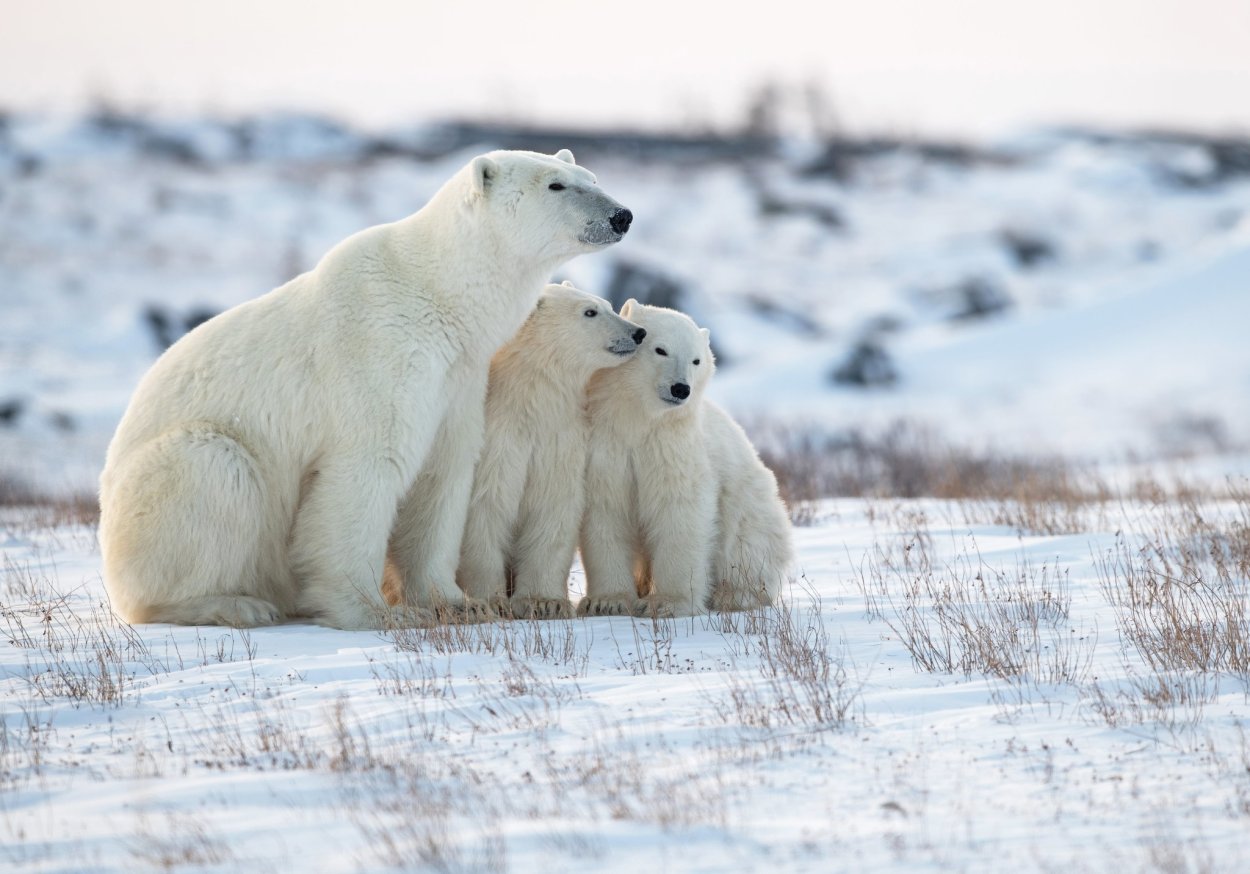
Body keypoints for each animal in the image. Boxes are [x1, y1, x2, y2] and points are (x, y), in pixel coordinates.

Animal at [455, 283, 645, 617]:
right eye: (590, 311)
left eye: (608, 304)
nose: (637, 333)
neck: (527, 401)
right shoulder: (496, 444)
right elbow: (485, 511)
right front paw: (492, 601)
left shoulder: (558, 442)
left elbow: (552, 510)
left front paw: (543, 602)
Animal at [577, 303, 790, 617]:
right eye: (660, 350)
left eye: (696, 360)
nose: (681, 388)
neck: (638, 422)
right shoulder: (607, 449)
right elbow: (607, 512)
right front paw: (607, 601)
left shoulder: (674, 449)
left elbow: (679, 511)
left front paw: (667, 603)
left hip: (749, 501)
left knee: (744, 544)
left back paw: (734, 595)